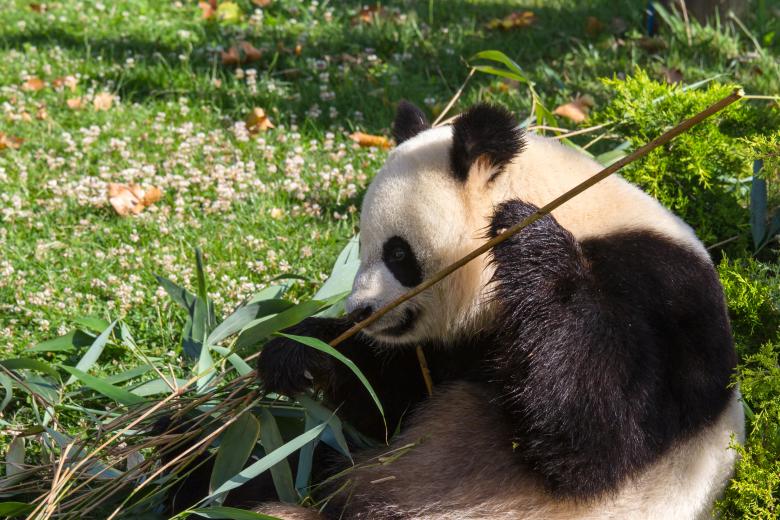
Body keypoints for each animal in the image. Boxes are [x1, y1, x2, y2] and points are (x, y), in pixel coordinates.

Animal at [255, 101, 745, 519]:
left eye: (397, 254)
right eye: (361, 248)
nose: (360, 310)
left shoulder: (663, 294)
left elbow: (605, 435)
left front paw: (527, 235)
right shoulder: (460, 345)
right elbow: (387, 403)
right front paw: (301, 352)